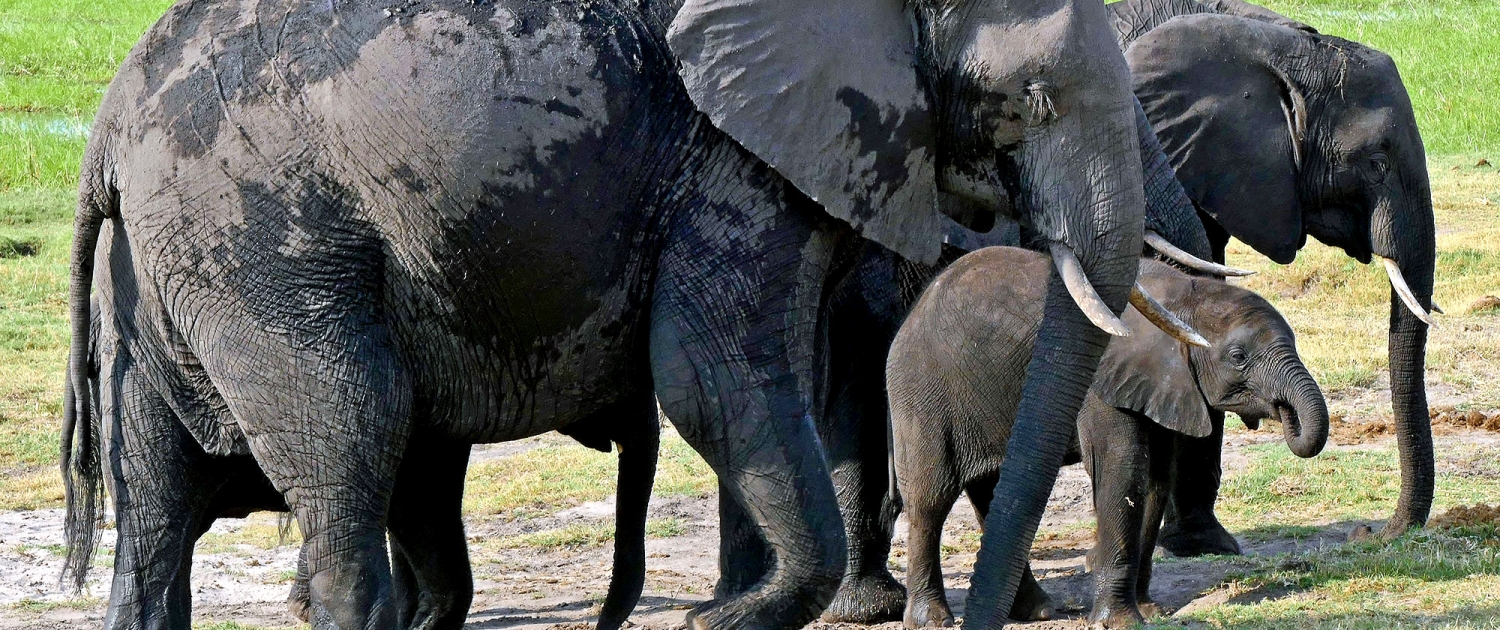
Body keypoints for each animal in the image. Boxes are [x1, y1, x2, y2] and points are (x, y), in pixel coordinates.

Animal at [888, 249, 1329, 627]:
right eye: (1238, 357)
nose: (1283, 414)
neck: (1185, 296)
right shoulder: (1102, 386)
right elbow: (1122, 470)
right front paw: (1120, 622)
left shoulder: (1162, 385)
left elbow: (1154, 480)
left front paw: (1151, 610)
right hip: (922, 392)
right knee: (930, 498)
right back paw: (932, 620)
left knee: (995, 494)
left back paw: (1037, 611)